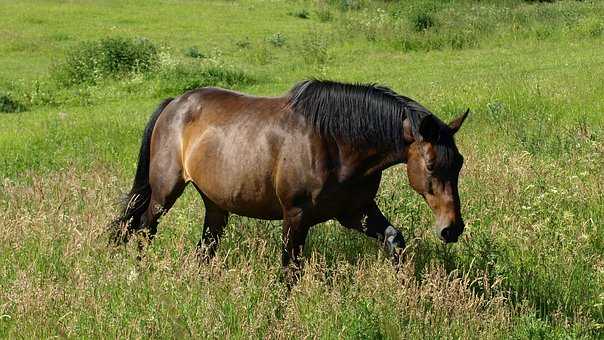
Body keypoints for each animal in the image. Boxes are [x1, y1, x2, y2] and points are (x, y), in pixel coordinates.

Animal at [111, 80, 470, 276]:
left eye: (459, 163)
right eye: (431, 165)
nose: (451, 228)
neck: (335, 142)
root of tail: (175, 103)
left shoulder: (356, 212)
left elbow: (395, 240)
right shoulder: (295, 217)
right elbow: (290, 270)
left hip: (215, 204)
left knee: (205, 248)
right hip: (165, 192)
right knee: (143, 228)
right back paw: (139, 272)